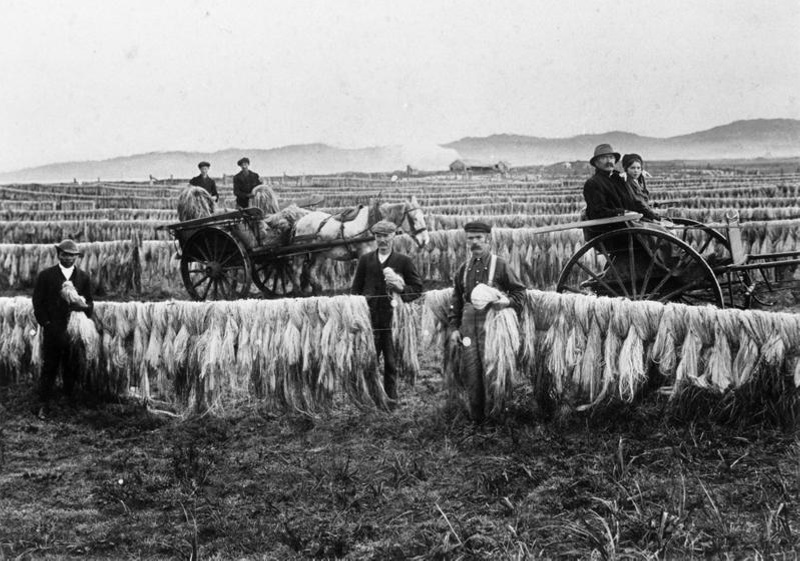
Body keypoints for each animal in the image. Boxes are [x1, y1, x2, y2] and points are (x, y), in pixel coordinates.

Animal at [294, 195, 432, 294]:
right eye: (414, 219)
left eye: (423, 217)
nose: (425, 240)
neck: (373, 224)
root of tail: (300, 221)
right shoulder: (364, 253)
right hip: (300, 253)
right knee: (297, 270)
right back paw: (297, 292)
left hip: (320, 253)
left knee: (311, 270)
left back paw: (317, 290)